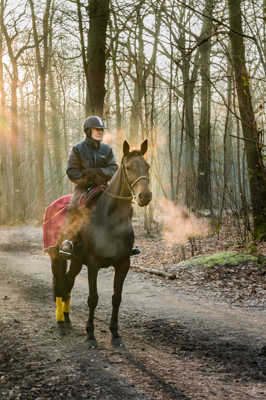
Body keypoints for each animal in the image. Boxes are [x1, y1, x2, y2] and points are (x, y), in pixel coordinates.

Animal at [49, 139, 152, 346]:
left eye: (147, 166)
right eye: (128, 167)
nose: (145, 196)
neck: (110, 219)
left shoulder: (123, 264)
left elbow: (116, 298)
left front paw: (115, 333)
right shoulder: (93, 264)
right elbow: (93, 298)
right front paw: (90, 334)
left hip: (76, 261)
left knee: (68, 282)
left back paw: (67, 316)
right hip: (57, 258)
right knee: (61, 284)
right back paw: (60, 319)